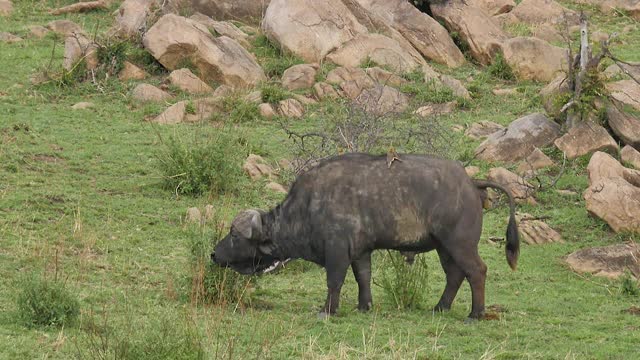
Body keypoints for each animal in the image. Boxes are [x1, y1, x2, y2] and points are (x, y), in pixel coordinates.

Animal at [212, 153, 516, 320]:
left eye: (235, 235)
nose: (214, 254)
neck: (308, 206)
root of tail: (470, 182)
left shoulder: (336, 251)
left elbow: (334, 281)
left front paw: (328, 310)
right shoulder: (360, 252)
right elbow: (363, 278)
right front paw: (364, 306)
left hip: (459, 243)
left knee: (476, 271)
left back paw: (475, 314)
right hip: (443, 246)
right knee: (454, 275)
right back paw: (440, 307)